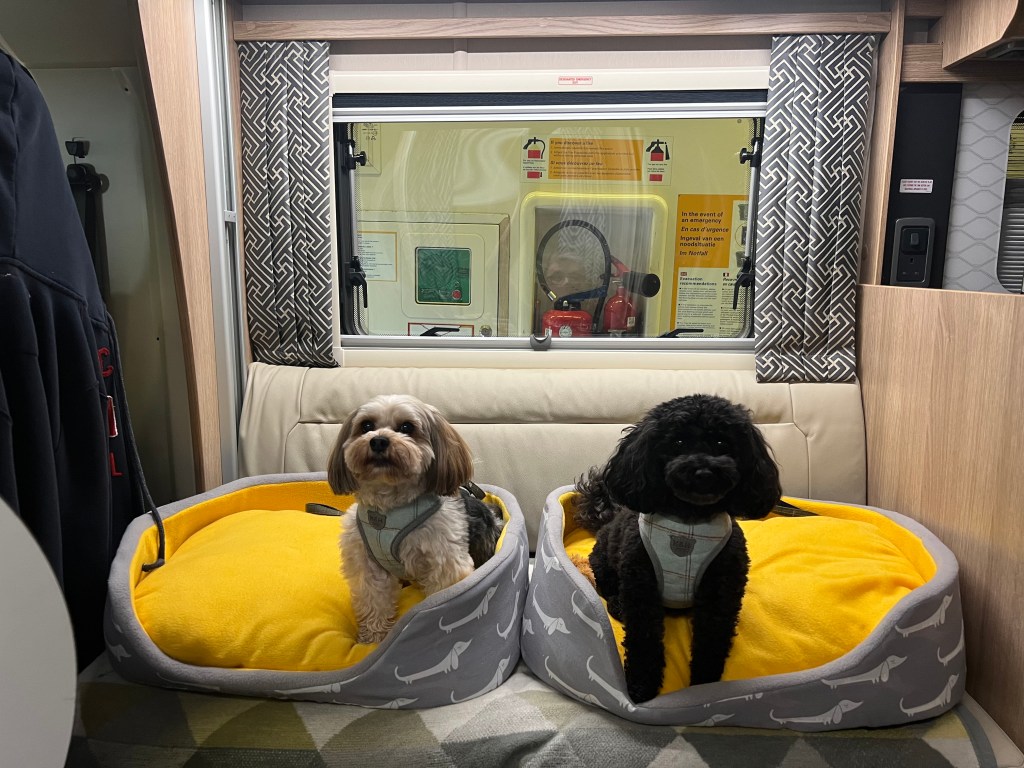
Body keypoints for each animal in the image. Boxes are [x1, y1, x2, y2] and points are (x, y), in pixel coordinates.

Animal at [327, 394, 504, 644]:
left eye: (407, 427)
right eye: (366, 425)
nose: (378, 441)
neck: (388, 509)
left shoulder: (444, 561)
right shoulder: (366, 563)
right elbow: (373, 598)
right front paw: (372, 639)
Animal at [574, 394, 781, 702]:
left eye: (722, 443)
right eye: (678, 442)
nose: (704, 471)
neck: (689, 523)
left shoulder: (721, 593)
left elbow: (711, 641)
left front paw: (705, 687)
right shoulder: (641, 587)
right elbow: (644, 641)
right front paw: (640, 688)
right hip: (604, 561)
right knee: (608, 586)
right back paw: (617, 605)